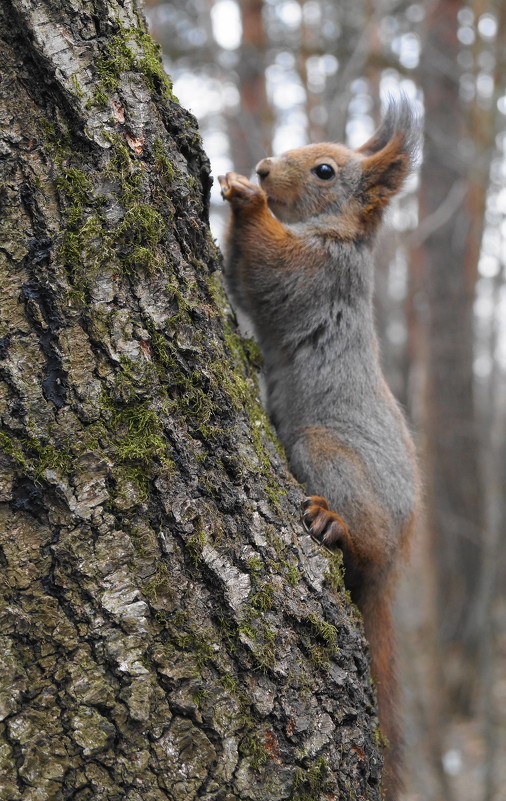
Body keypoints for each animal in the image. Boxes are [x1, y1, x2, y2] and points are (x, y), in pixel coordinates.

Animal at [219, 97, 422, 796]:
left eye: (326, 170)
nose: (262, 165)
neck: (336, 235)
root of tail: (396, 561)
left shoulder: (315, 276)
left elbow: (265, 271)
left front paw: (246, 199)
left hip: (323, 451)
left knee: (359, 545)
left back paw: (335, 524)